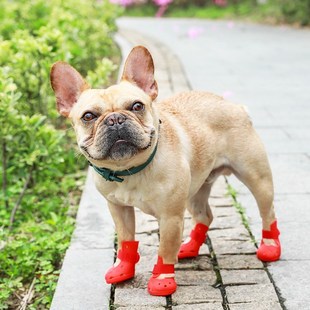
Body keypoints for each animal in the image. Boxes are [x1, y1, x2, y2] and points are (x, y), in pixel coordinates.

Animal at [50, 45, 280, 296]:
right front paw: (123, 269)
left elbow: (166, 248)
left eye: (137, 106)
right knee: (204, 215)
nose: (115, 119)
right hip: (195, 189)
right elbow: (126, 240)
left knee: (267, 212)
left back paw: (270, 247)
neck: (130, 170)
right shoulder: (119, 209)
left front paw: (162, 279)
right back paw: (189, 247)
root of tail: (234, 106)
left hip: (256, 177)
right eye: (88, 116)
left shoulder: (170, 218)